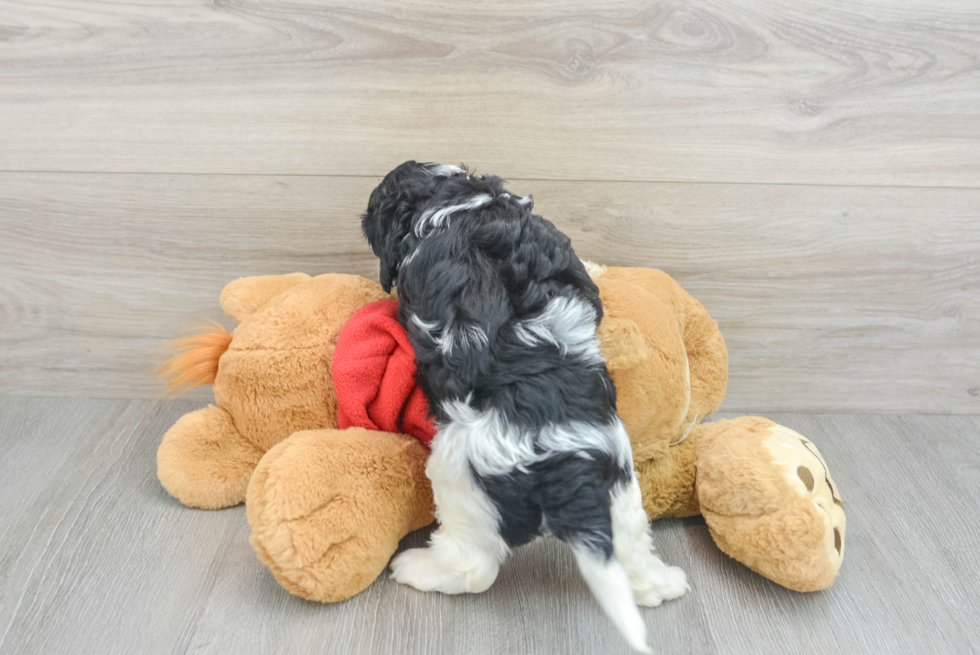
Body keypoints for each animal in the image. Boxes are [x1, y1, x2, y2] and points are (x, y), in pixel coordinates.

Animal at [360, 161, 688, 652]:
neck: (458, 203)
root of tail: (566, 466)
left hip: (459, 478)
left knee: (474, 566)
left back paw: (418, 569)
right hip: (619, 486)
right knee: (629, 542)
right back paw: (660, 584)